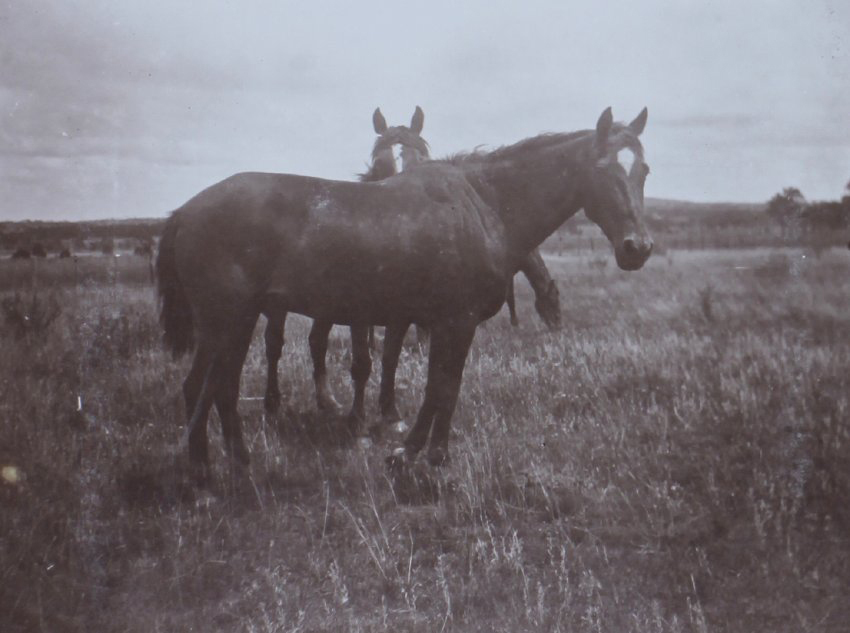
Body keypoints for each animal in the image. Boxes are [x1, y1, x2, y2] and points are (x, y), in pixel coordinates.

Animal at [156, 107, 652, 473]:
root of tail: (185, 211)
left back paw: (236, 460)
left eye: (644, 169)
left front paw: (419, 451)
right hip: (224, 321)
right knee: (201, 386)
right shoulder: (456, 321)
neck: (481, 206)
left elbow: (436, 386)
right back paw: (203, 471)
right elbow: (444, 388)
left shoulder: (433, 323)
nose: (638, 248)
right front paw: (423, 455)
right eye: (603, 169)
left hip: (237, 322)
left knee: (219, 386)